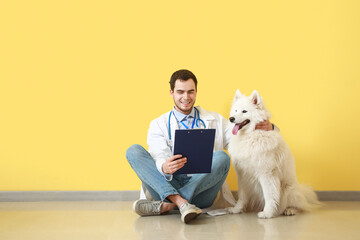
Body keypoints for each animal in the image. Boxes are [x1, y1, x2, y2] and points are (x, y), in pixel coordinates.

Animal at [228, 89, 320, 218]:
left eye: (244, 111)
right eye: (235, 110)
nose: (231, 118)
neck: (250, 135)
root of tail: (300, 189)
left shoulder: (267, 173)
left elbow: (269, 195)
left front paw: (267, 213)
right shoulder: (242, 175)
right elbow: (242, 196)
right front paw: (237, 209)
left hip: (288, 190)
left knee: (301, 206)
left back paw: (290, 210)